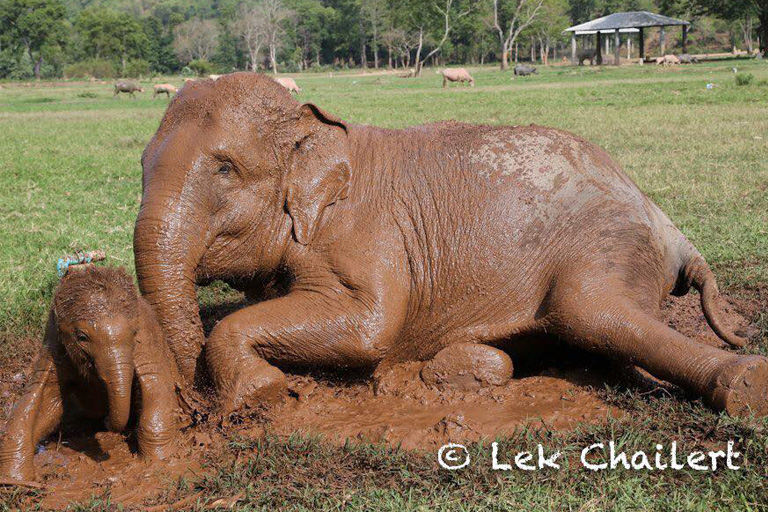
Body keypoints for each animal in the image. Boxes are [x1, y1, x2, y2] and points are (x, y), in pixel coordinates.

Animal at [0, 268, 184, 480]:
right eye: (82, 337)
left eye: (134, 332)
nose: (105, 420)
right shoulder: (53, 342)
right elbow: (40, 397)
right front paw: (15, 479)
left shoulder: (148, 338)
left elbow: (157, 384)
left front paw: (158, 464)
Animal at [135, 72, 764, 416]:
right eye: (140, 164)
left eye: (225, 169)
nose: (193, 408)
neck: (317, 127)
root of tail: (668, 224)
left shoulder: (369, 230)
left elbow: (369, 327)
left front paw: (259, 397)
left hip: (609, 243)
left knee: (595, 312)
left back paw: (744, 386)